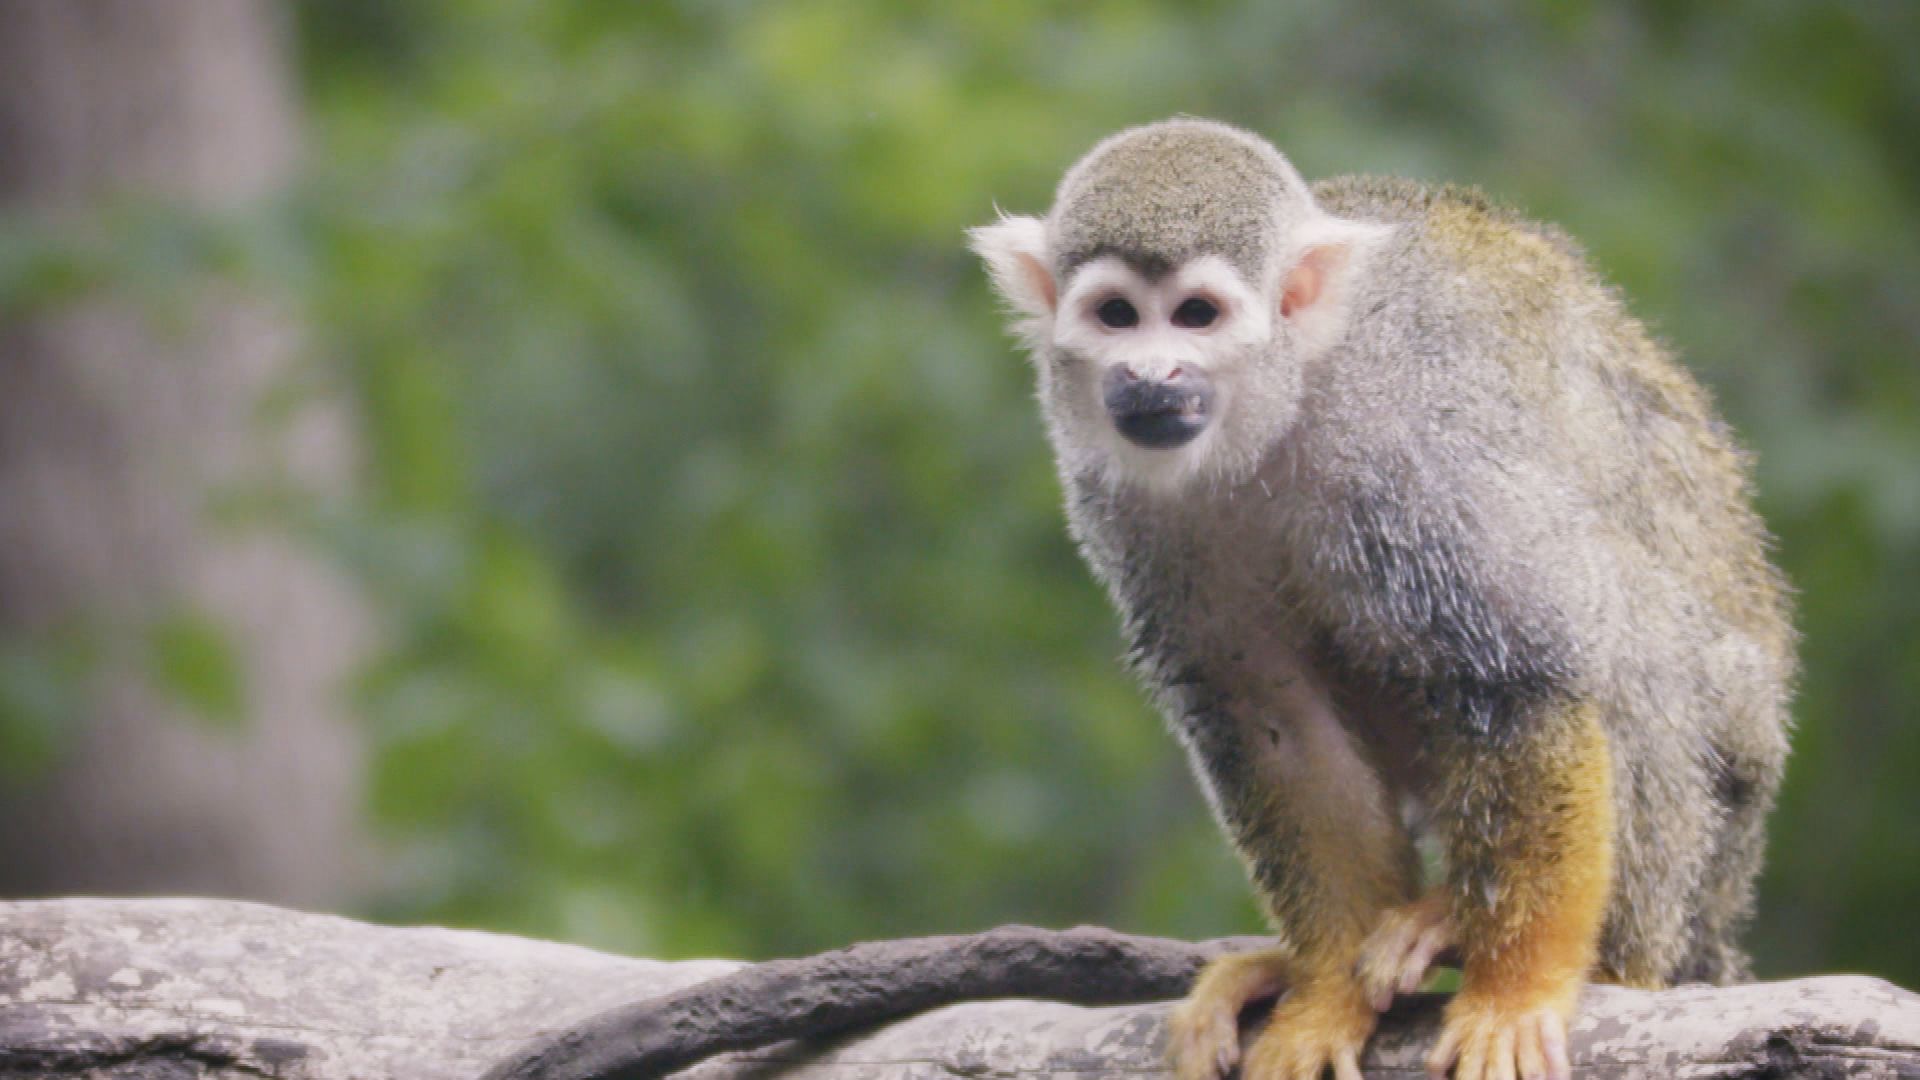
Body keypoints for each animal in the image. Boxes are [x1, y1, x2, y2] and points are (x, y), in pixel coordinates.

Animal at [969, 118, 1794, 1080]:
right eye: (1116, 316)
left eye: (1196, 316)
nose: (1150, 376)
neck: (1283, 406)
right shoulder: (1119, 502)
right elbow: (1278, 728)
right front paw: (1323, 996)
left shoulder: (1410, 449)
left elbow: (1519, 675)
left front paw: (1516, 992)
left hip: (1726, 789)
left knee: (1618, 624)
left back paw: (1502, 937)